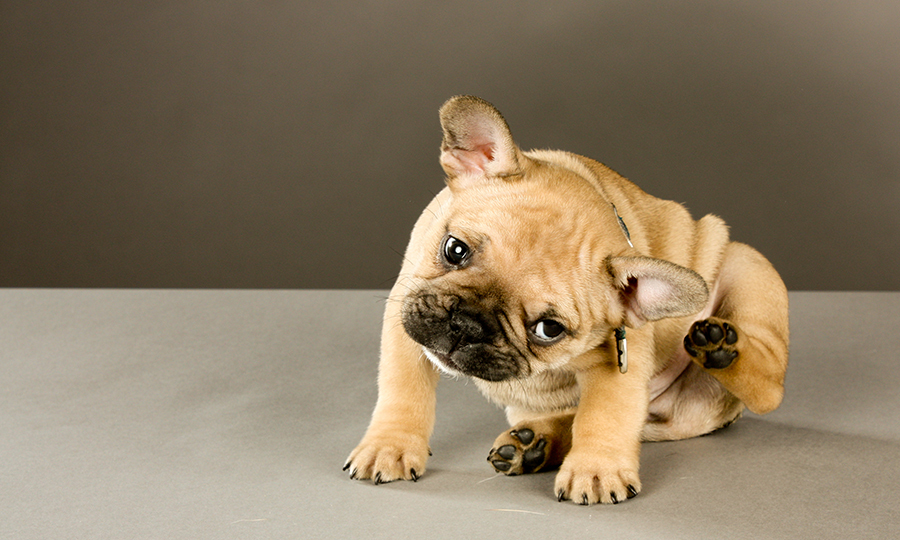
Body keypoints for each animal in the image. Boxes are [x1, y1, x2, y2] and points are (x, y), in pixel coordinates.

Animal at [344, 95, 788, 504]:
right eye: (454, 250)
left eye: (548, 329)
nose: (468, 324)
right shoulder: (408, 305)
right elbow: (404, 388)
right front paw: (390, 445)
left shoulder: (619, 357)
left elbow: (603, 414)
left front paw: (596, 470)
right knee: (569, 420)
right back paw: (533, 446)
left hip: (748, 269)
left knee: (768, 388)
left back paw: (719, 347)